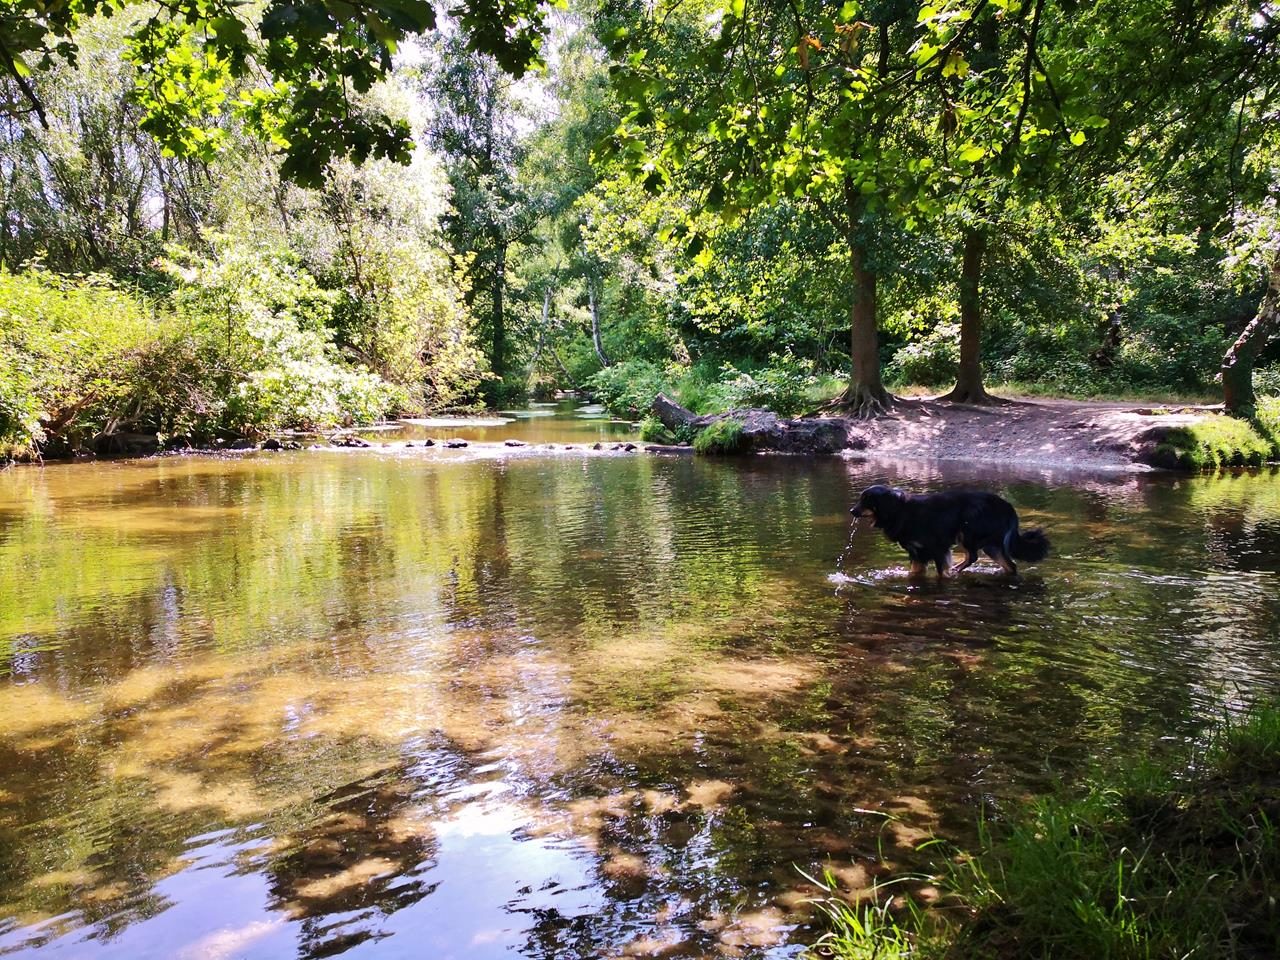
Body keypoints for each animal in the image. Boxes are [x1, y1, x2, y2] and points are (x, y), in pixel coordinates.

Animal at [849, 483, 1049, 576]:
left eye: (866, 500)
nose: (851, 511)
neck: (900, 510)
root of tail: (1007, 506)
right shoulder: (917, 553)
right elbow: (914, 573)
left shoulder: (937, 548)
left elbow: (941, 572)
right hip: (990, 544)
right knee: (1009, 565)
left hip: (969, 532)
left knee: (973, 556)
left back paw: (956, 571)